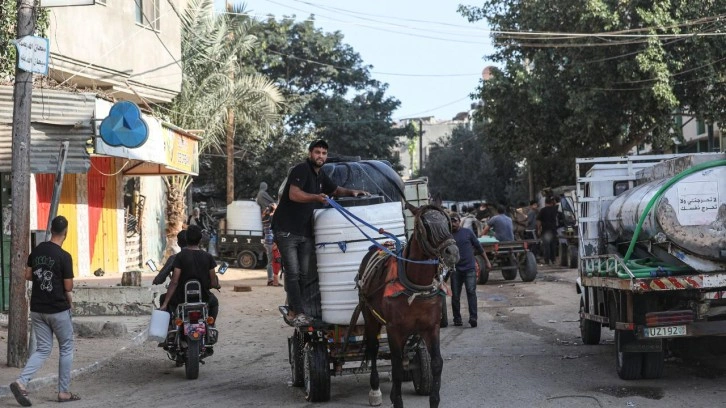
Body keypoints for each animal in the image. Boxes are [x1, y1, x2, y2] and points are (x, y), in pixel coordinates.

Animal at [354, 206, 460, 408]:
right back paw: (375, 389)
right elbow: (395, 367)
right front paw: (396, 400)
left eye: (447, 221)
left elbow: (436, 363)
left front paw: (433, 400)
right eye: (425, 224)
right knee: (373, 348)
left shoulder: (431, 327)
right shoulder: (394, 329)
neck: (416, 288)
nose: (452, 252)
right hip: (370, 317)